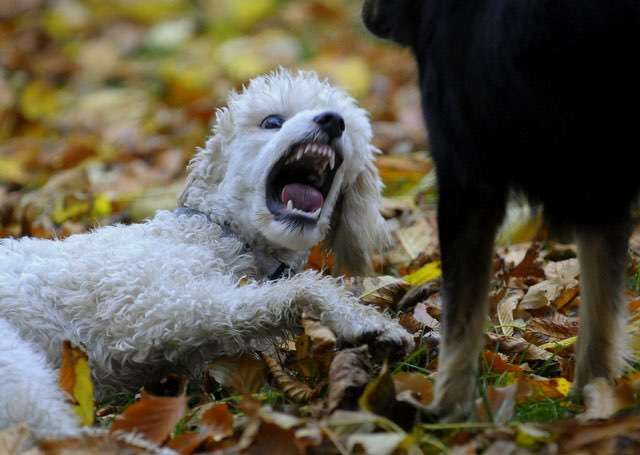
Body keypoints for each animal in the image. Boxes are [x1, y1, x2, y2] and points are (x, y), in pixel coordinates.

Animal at [0, 70, 410, 438]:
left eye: (349, 127)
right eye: (272, 121)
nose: (332, 121)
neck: (218, 231)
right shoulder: (156, 308)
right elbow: (305, 288)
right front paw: (368, 323)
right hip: (16, 368)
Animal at [362, 0, 636, 420]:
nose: (369, 18)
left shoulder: (465, 171)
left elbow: (461, 320)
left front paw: (446, 411)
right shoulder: (599, 186)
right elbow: (601, 312)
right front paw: (594, 397)